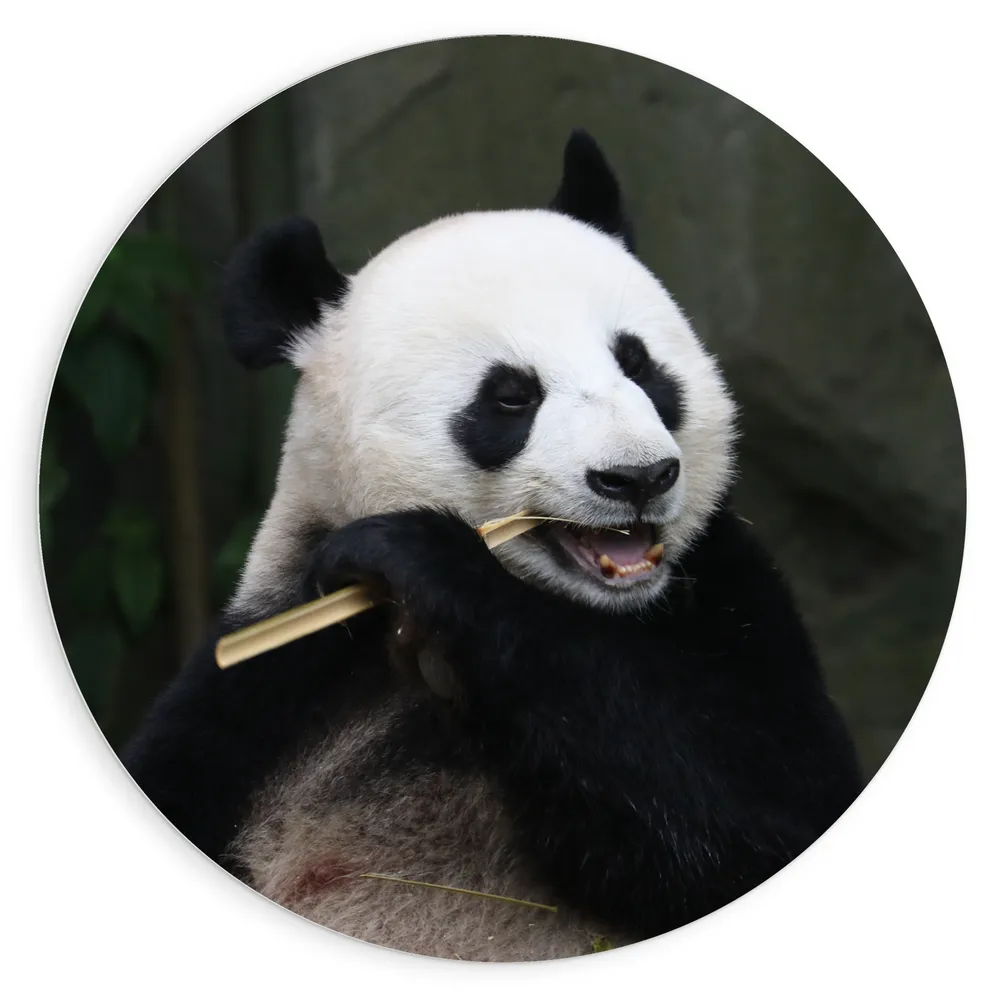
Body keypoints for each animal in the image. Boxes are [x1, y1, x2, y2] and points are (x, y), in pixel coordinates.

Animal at [123, 130, 862, 961]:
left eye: (639, 365)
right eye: (511, 396)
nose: (639, 476)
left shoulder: (729, 597)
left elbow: (755, 812)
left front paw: (423, 554)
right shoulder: (268, 679)